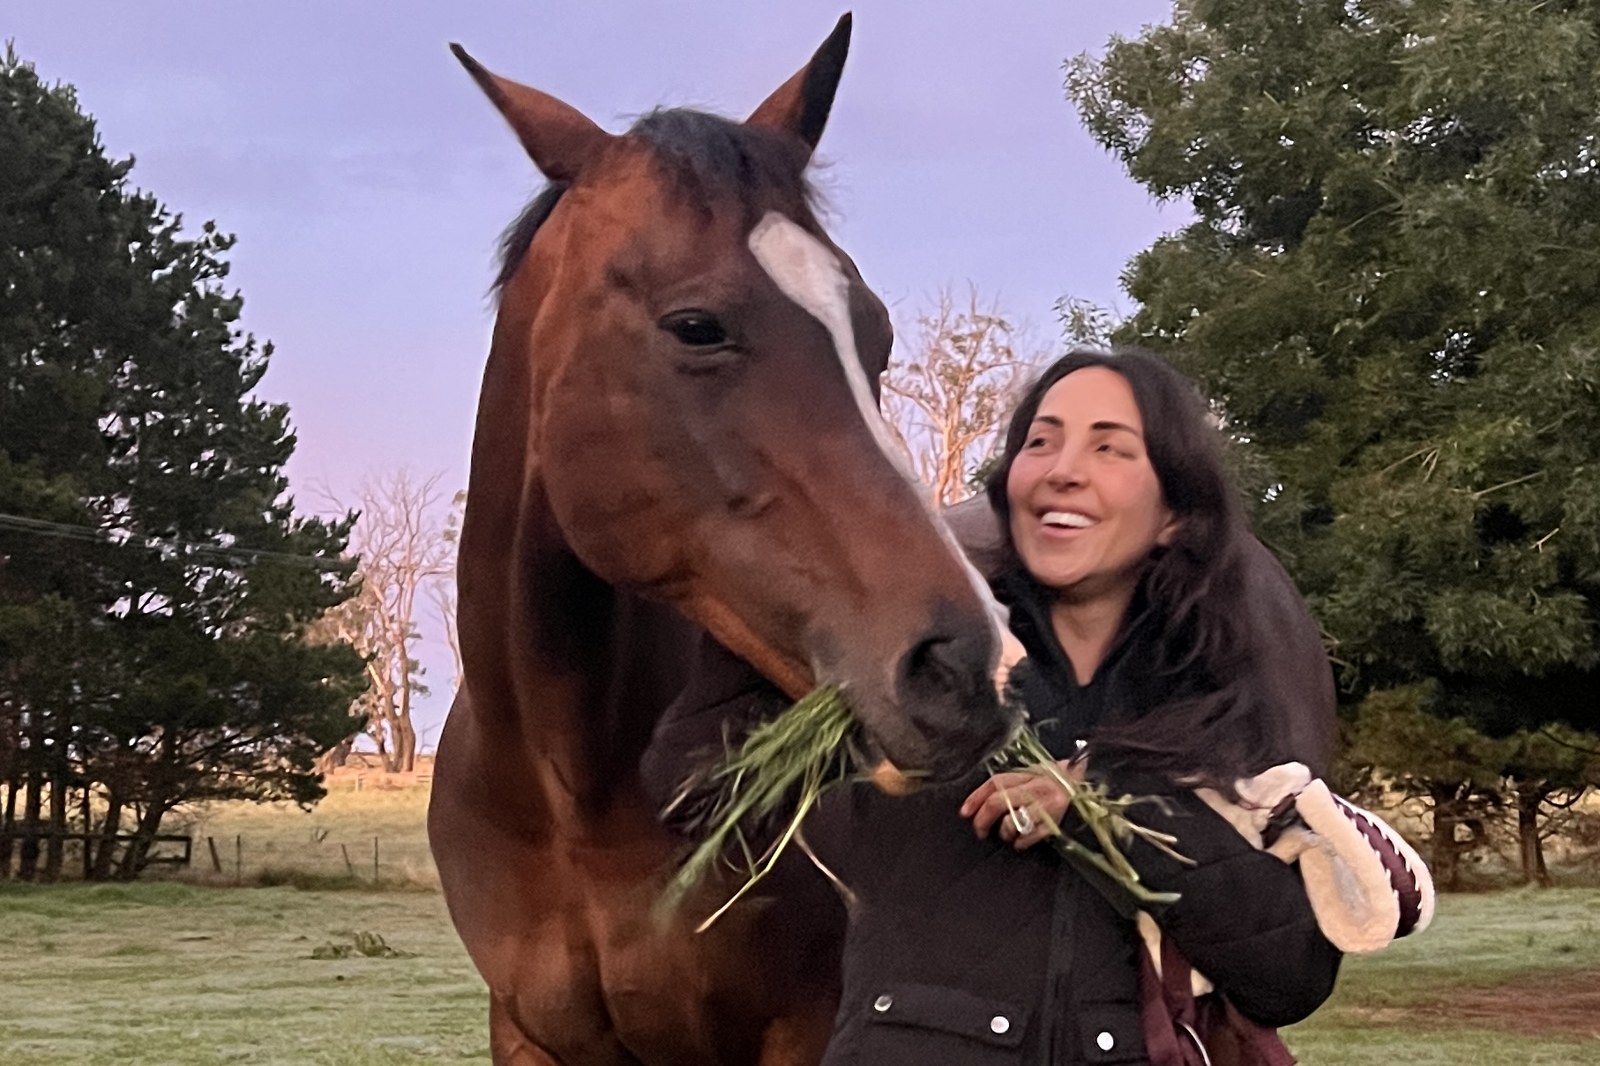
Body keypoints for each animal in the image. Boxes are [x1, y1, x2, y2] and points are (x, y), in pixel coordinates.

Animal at [429, 16, 1016, 1065]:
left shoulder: (805, 1024)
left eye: (873, 331)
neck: (573, 795)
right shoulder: (526, 1034)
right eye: (696, 325)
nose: (962, 667)